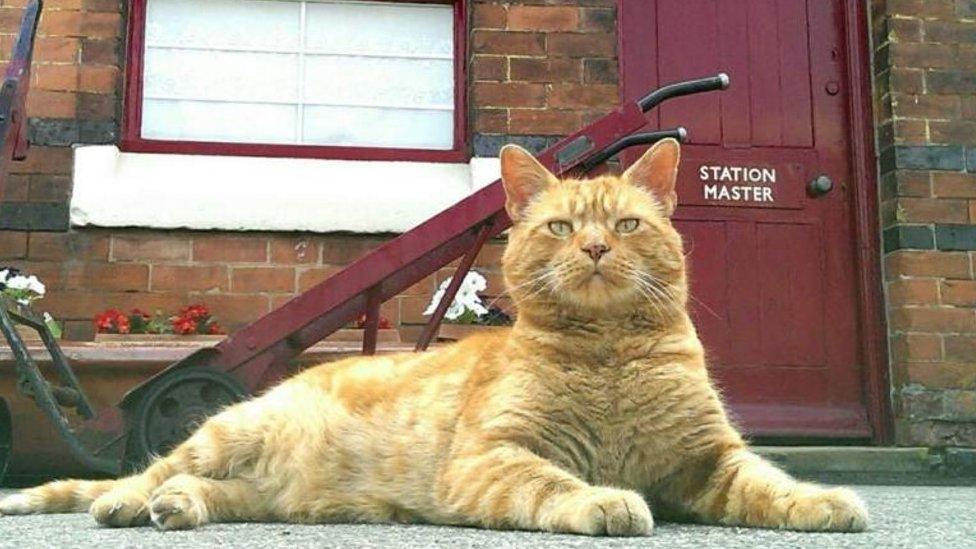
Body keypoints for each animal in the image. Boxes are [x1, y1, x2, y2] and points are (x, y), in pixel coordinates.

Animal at [0, 139, 868, 532]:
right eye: (560, 226)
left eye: (625, 224)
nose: (594, 248)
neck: (609, 354)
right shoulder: (490, 458)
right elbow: (555, 481)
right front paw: (603, 499)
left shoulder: (706, 457)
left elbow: (767, 479)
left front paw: (823, 498)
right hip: (220, 431)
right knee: (142, 470)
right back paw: (126, 501)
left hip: (270, 491)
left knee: (213, 492)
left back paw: (179, 507)